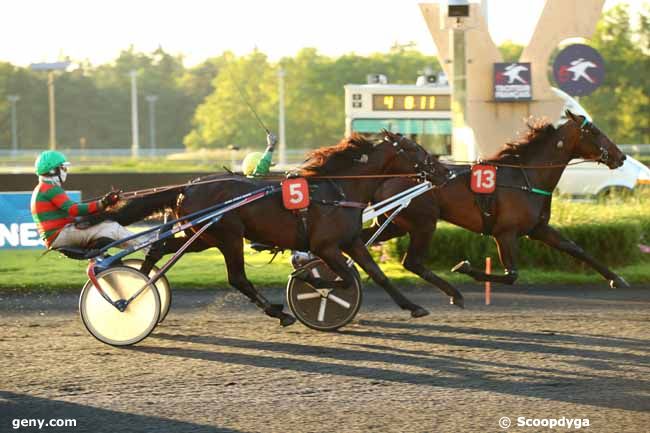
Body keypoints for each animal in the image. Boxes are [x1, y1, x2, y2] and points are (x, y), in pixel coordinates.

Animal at [106, 132, 436, 324]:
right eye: (415, 149)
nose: (439, 167)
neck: (338, 190)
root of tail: (187, 186)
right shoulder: (325, 246)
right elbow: (342, 279)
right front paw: (310, 281)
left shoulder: (351, 241)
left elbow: (378, 275)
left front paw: (413, 306)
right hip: (228, 235)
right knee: (237, 277)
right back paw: (277, 312)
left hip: (202, 236)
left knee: (158, 248)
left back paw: (139, 286)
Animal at [362, 110, 624, 304]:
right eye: (594, 131)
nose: (620, 156)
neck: (525, 178)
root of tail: (386, 177)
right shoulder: (505, 233)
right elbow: (512, 275)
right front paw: (464, 266)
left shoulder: (537, 229)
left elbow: (575, 248)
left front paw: (617, 279)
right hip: (423, 223)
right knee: (412, 262)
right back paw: (453, 294)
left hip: (395, 224)